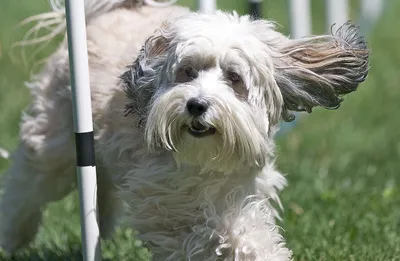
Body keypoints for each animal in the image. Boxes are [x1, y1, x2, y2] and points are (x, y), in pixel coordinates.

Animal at [0, 1, 368, 258]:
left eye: (234, 77)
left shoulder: (238, 184)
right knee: (29, 181)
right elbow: (204, 232)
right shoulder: (161, 194)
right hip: (57, 136)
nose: (196, 105)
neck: (204, 161)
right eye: (187, 72)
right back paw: (14, 235)